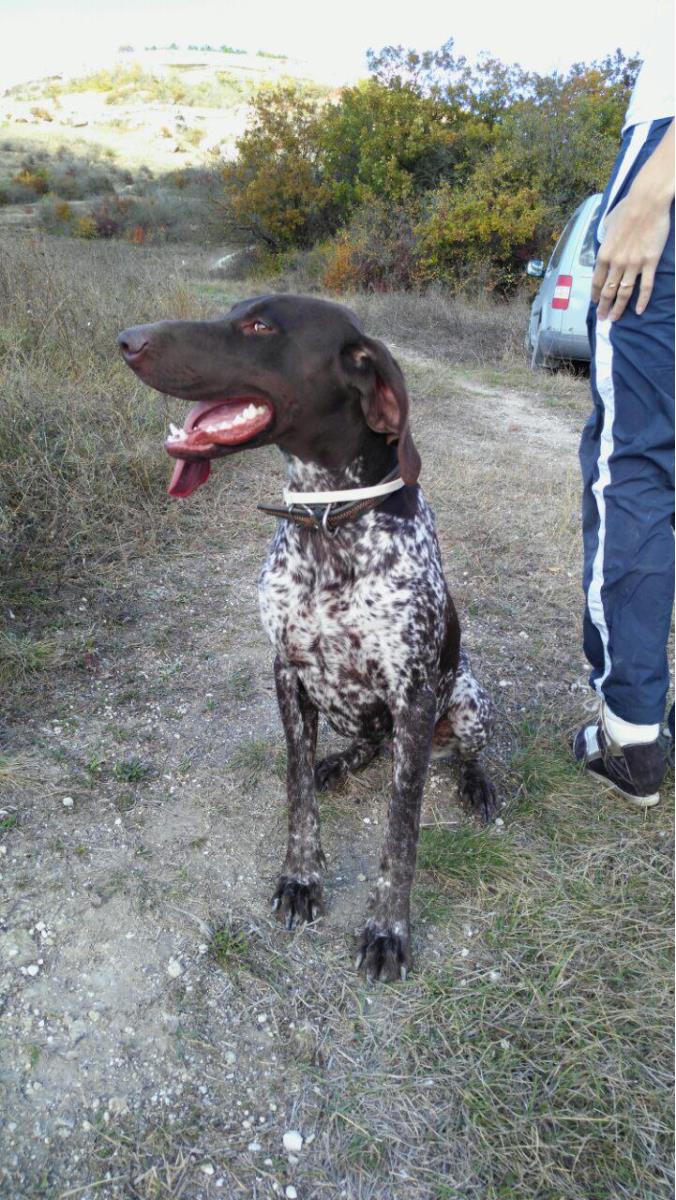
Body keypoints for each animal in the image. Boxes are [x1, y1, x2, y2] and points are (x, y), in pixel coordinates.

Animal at [118, 294, 497, 981]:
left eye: (261, 326)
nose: (126, 339)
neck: (327, 522)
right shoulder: (288, 674)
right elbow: (297, 795)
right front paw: (300, 879)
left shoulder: (414, 696)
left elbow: (401, 831)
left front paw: (387, 929)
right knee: (365, 747)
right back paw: (338, 763)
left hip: (465, 699)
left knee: (462, 752)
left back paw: (476, 783)